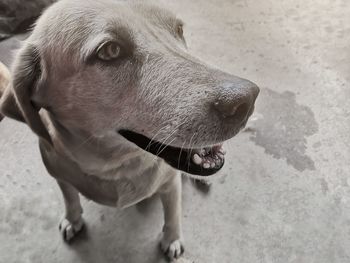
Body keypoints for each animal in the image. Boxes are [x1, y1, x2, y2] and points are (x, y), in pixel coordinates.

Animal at [0, 0, 258, 260]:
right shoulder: (60, 176)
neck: (115, 167)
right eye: (110, 51)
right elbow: (70, 198)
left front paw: (172, 239)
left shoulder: (171, 184)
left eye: (179, 30)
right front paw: (73, 219)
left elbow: (173, 215)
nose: (247, 101)